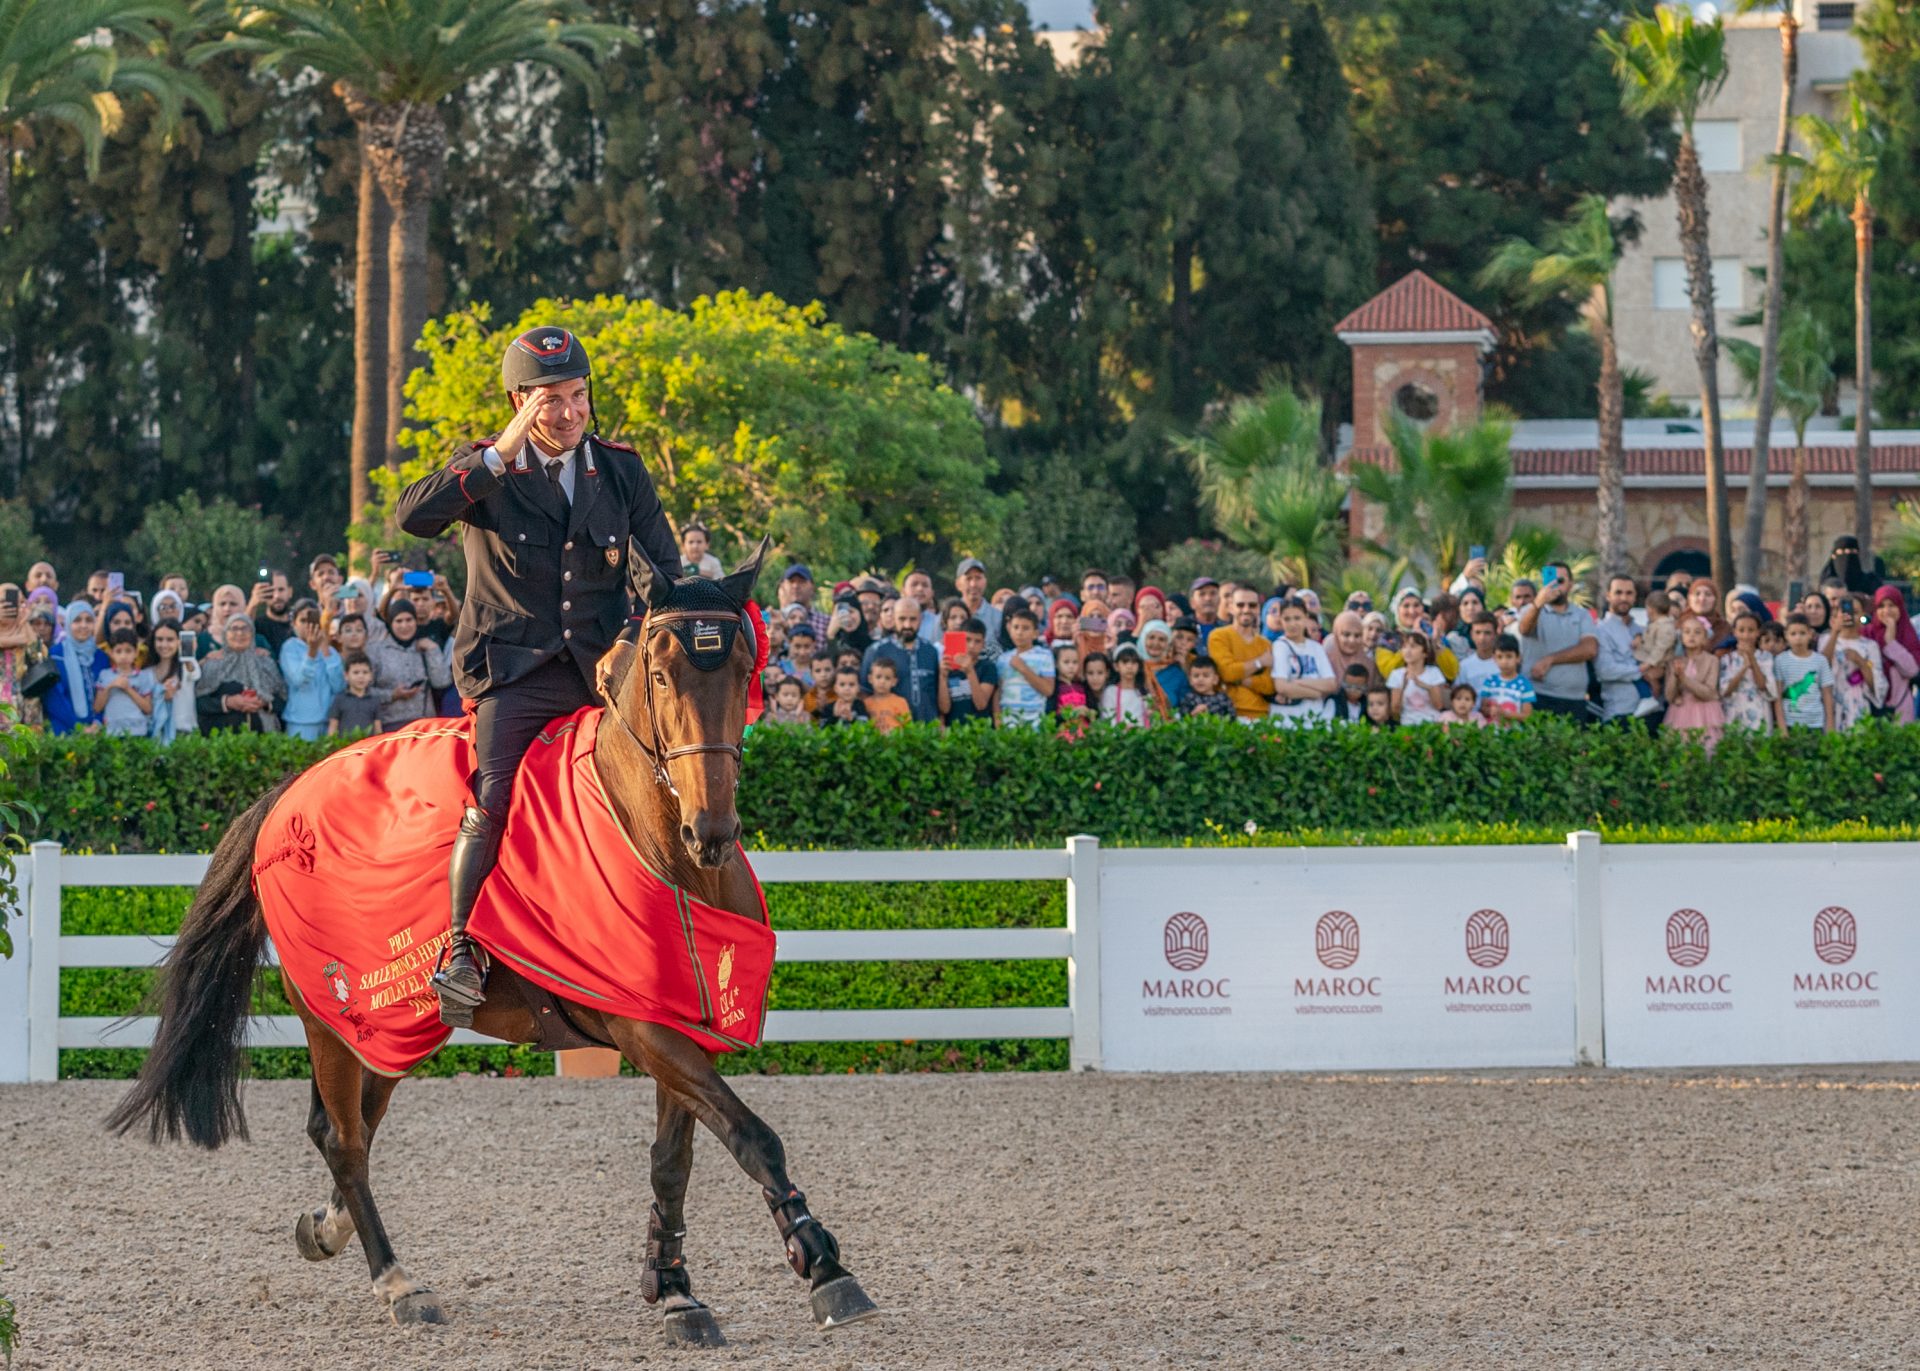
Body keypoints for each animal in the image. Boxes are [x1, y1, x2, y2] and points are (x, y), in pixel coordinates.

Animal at [108, 537, 875, 1344]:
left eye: (743, 672)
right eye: (663, 674)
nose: (713, 830)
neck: (659, 844)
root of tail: (287, 792)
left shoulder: (678, 1018)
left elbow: (676, 1157)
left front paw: (673, 1289)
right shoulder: (640, 1027)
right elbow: (750, 1134)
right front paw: (823, 1263)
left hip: (394, 1025)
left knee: (345, 1128)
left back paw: (326, 1226)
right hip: (332, 1013)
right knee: (346, 1139)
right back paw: (399, 1283)